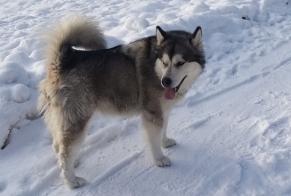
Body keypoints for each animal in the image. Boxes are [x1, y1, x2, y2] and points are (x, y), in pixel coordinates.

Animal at [38, 16, 206, 188]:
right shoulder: (152, 112)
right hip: (78, 118)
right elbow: (154, 139)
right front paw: (159, 158)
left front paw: (165, 142)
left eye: (180, 63)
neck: (155, 68)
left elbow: (164, 129)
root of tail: (65, 59)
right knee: (65, 153)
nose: (165, 82)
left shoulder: (163, 110)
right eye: (165, 62)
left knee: (58, 145)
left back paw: (74, 162)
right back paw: (72, 181)